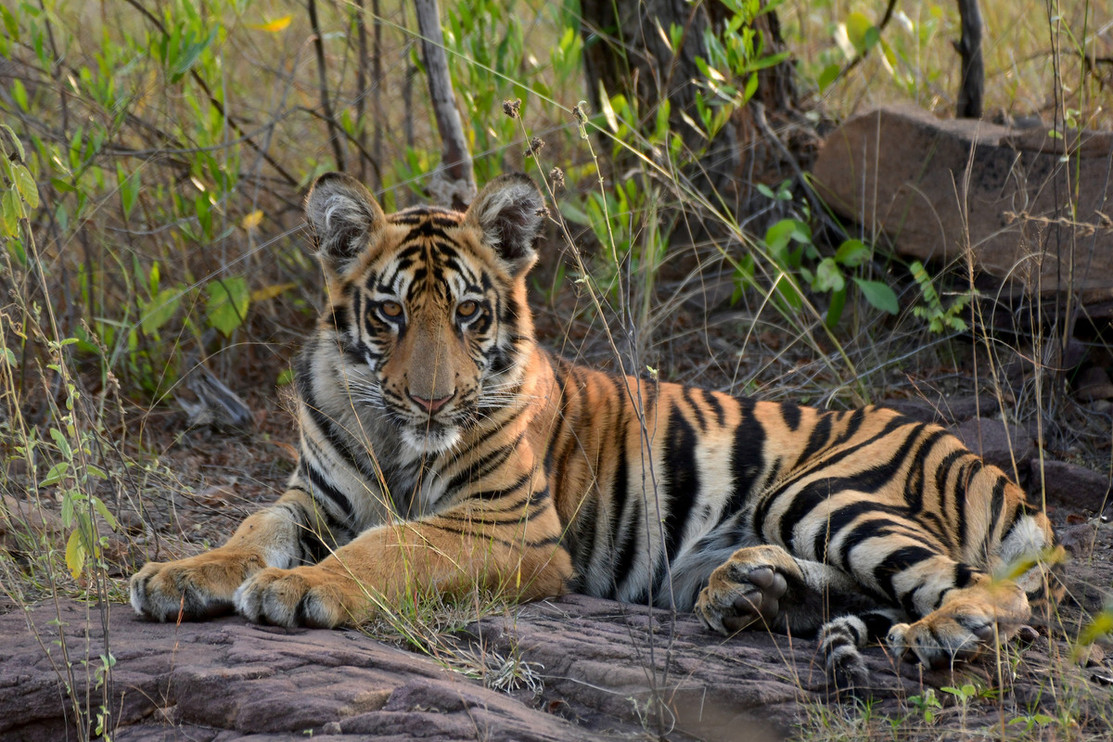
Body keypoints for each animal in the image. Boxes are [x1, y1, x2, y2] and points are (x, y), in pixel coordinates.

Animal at [130, 171, 1059, 689]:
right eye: (389, 315)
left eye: (468, 315)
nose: (432, 403)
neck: (396, 441)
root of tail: (981, 463)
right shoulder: (311, 498)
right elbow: (250, 528)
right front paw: (178, 574)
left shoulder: (507, 524)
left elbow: (393, 544)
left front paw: (298, 588)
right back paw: (748, 590)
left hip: (825, 490)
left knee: (983, 588)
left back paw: (940, 631)